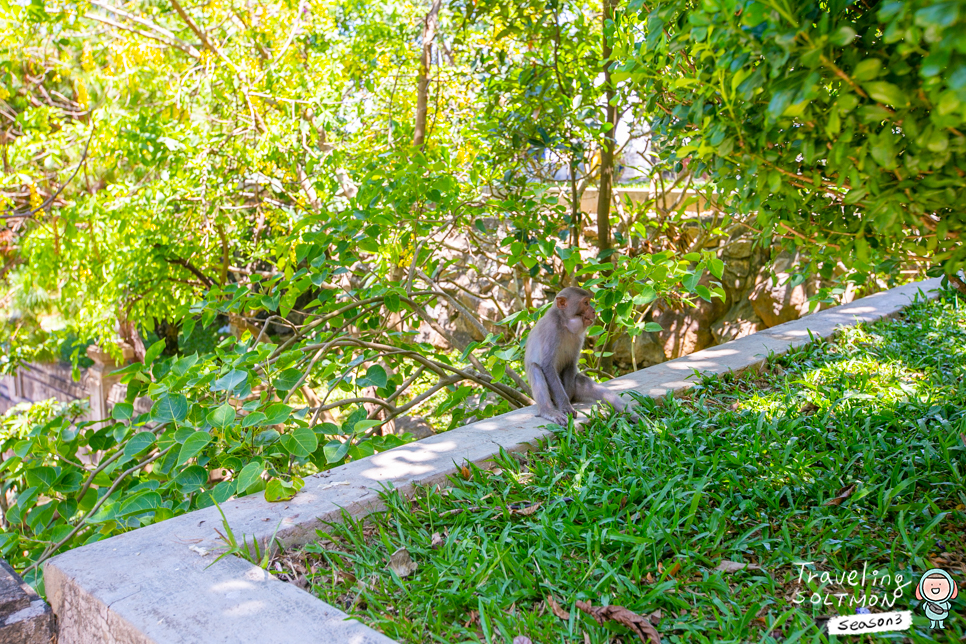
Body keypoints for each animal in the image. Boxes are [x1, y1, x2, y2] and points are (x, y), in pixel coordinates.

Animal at [524, 288, 632, 428]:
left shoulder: (579, 337)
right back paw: (548, 411)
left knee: (585, 382)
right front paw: (565, 405)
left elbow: (570, 364)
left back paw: (632, 415)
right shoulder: (551, 330)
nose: (593, 311)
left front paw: (568, 397)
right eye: (586, 303)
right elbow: (547, 366)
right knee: (535, 368)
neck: (564, 324)